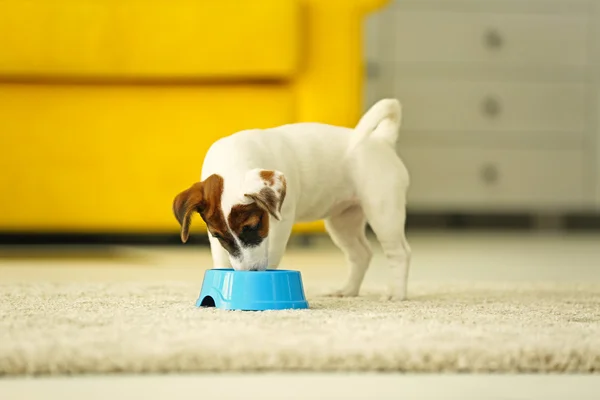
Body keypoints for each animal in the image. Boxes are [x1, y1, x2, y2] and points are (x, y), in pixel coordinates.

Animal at [171, 99, 410, 300]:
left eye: (253, 226)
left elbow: (273, 253)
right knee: (361, 254)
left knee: (399, 253)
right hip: (343, 222)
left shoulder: (280, 222)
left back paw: (396, 294)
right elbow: (221, 257)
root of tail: (382, 140)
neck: (232, 161)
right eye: (218, 235)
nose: (251, 272)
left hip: (383, 212)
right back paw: (347, 290)